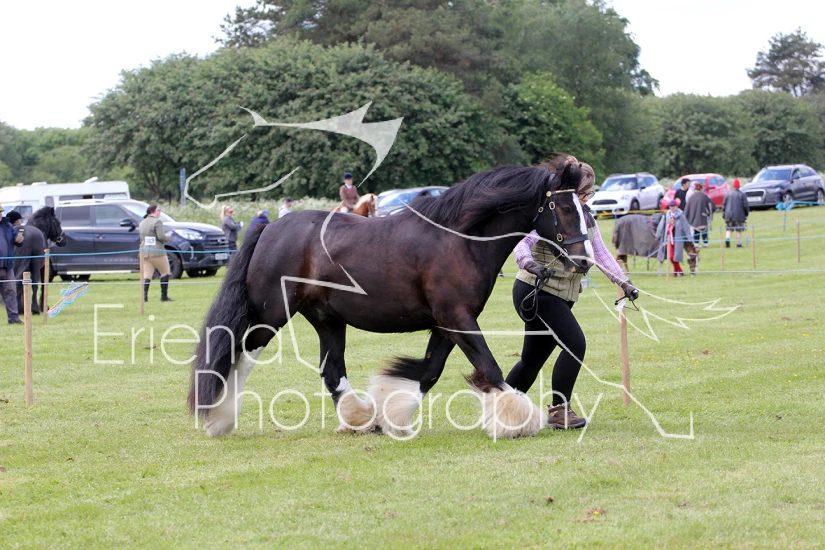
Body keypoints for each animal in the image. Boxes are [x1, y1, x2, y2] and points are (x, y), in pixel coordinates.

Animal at [189, 162, 593, 439]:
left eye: (585, 209)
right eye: (564, 209)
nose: (585, 261)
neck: (459, 239)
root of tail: (270, 226)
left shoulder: (447, 323)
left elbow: (429, 372)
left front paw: (392, 417)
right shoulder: (458, 318)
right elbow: (489, 369)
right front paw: (516, 422)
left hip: (326, 318)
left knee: (331, 369)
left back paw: (359, 419)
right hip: (271, 314)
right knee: (240, 355)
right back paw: (219, 420)